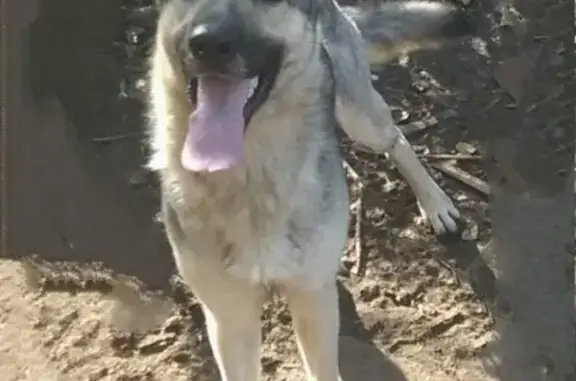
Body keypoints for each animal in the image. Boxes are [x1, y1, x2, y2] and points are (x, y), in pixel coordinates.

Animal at [147, 1, 472, 378]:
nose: (208, 44)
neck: (251, 179)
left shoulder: (312, 302)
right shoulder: (230, 319)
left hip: (362, 119)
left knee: (398, 140)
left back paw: (435, 203)